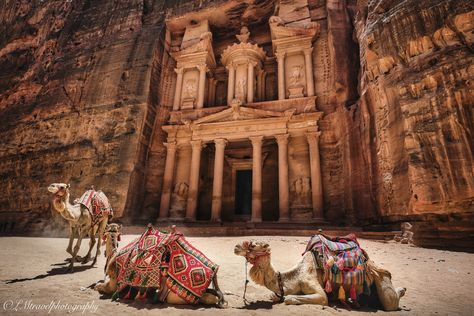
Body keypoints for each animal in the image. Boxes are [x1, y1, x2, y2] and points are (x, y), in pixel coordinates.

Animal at [95, 225, 227, 308]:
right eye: (109, 231)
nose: (108, 233)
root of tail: (214, 269)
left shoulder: (114, 284)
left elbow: (101, 287)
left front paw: (97, 287)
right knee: (211, 295)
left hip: (176, 296)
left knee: (208, 298)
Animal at [235, 239, 406, 312]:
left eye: (253, 245)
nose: (236, 247)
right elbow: (275, 296)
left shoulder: (314, 286)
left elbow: (290, 298)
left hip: (380, 274)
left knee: (390, 303)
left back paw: (402, 290)